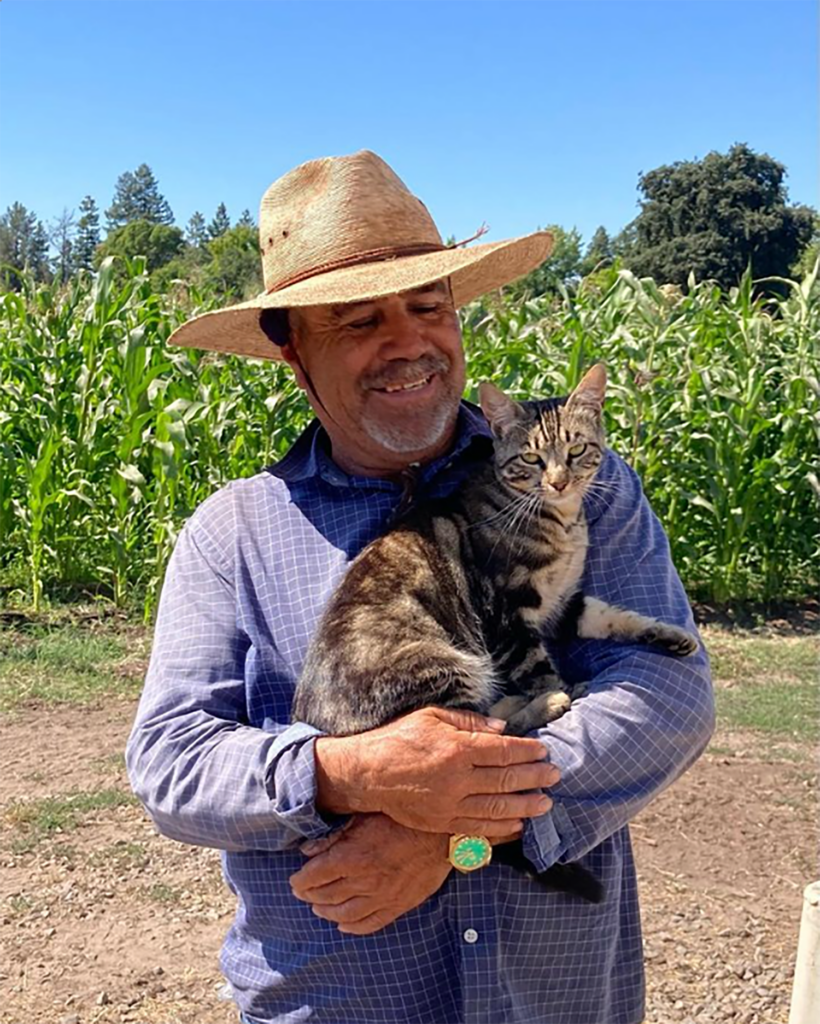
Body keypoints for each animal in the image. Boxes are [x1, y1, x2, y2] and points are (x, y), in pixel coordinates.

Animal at [290, 364, 696, 901]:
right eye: (531, 457)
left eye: (576, 450)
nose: (559, 481)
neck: (560, 523)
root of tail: (321, 724)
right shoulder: (506, 612)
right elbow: (538, 665)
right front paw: (558, 689)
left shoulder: (565, 604)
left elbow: (611, 613)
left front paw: (668, 633)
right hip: (443, 660)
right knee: (481, 730)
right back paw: (549, 702)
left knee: (488, 723)